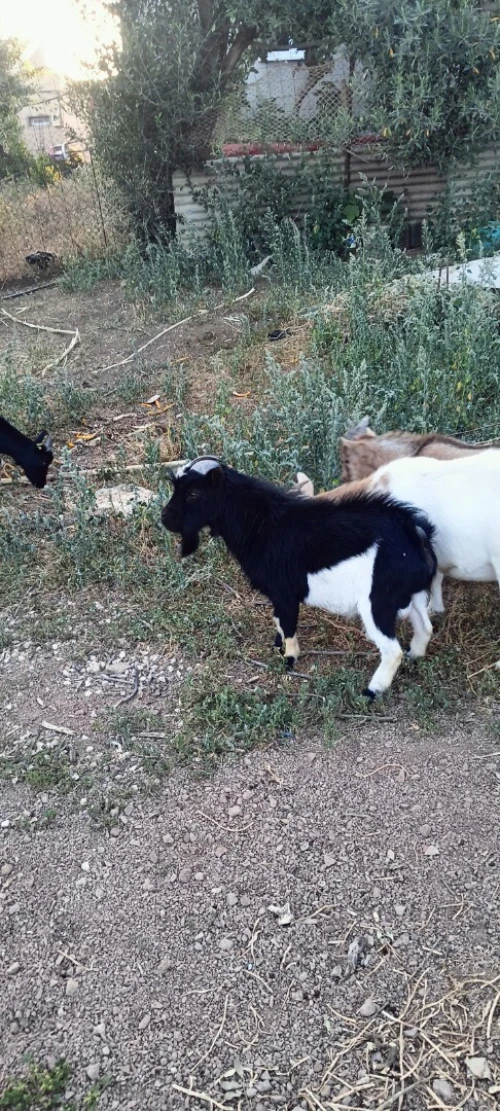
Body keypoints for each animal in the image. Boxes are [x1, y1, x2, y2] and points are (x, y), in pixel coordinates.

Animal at [161, 457, 437, 699]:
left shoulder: (285, 592)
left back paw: (372, 691)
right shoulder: (277, 596)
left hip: (377, 601)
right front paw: (277, 645)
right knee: (425, 627)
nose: (165, 518)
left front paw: (289, 659)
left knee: (391, 650)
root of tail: (415, 533)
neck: (262, 524)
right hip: (413, 595)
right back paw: (414, 657)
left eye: (193, 494)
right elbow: (278, 620)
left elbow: (288, 624)